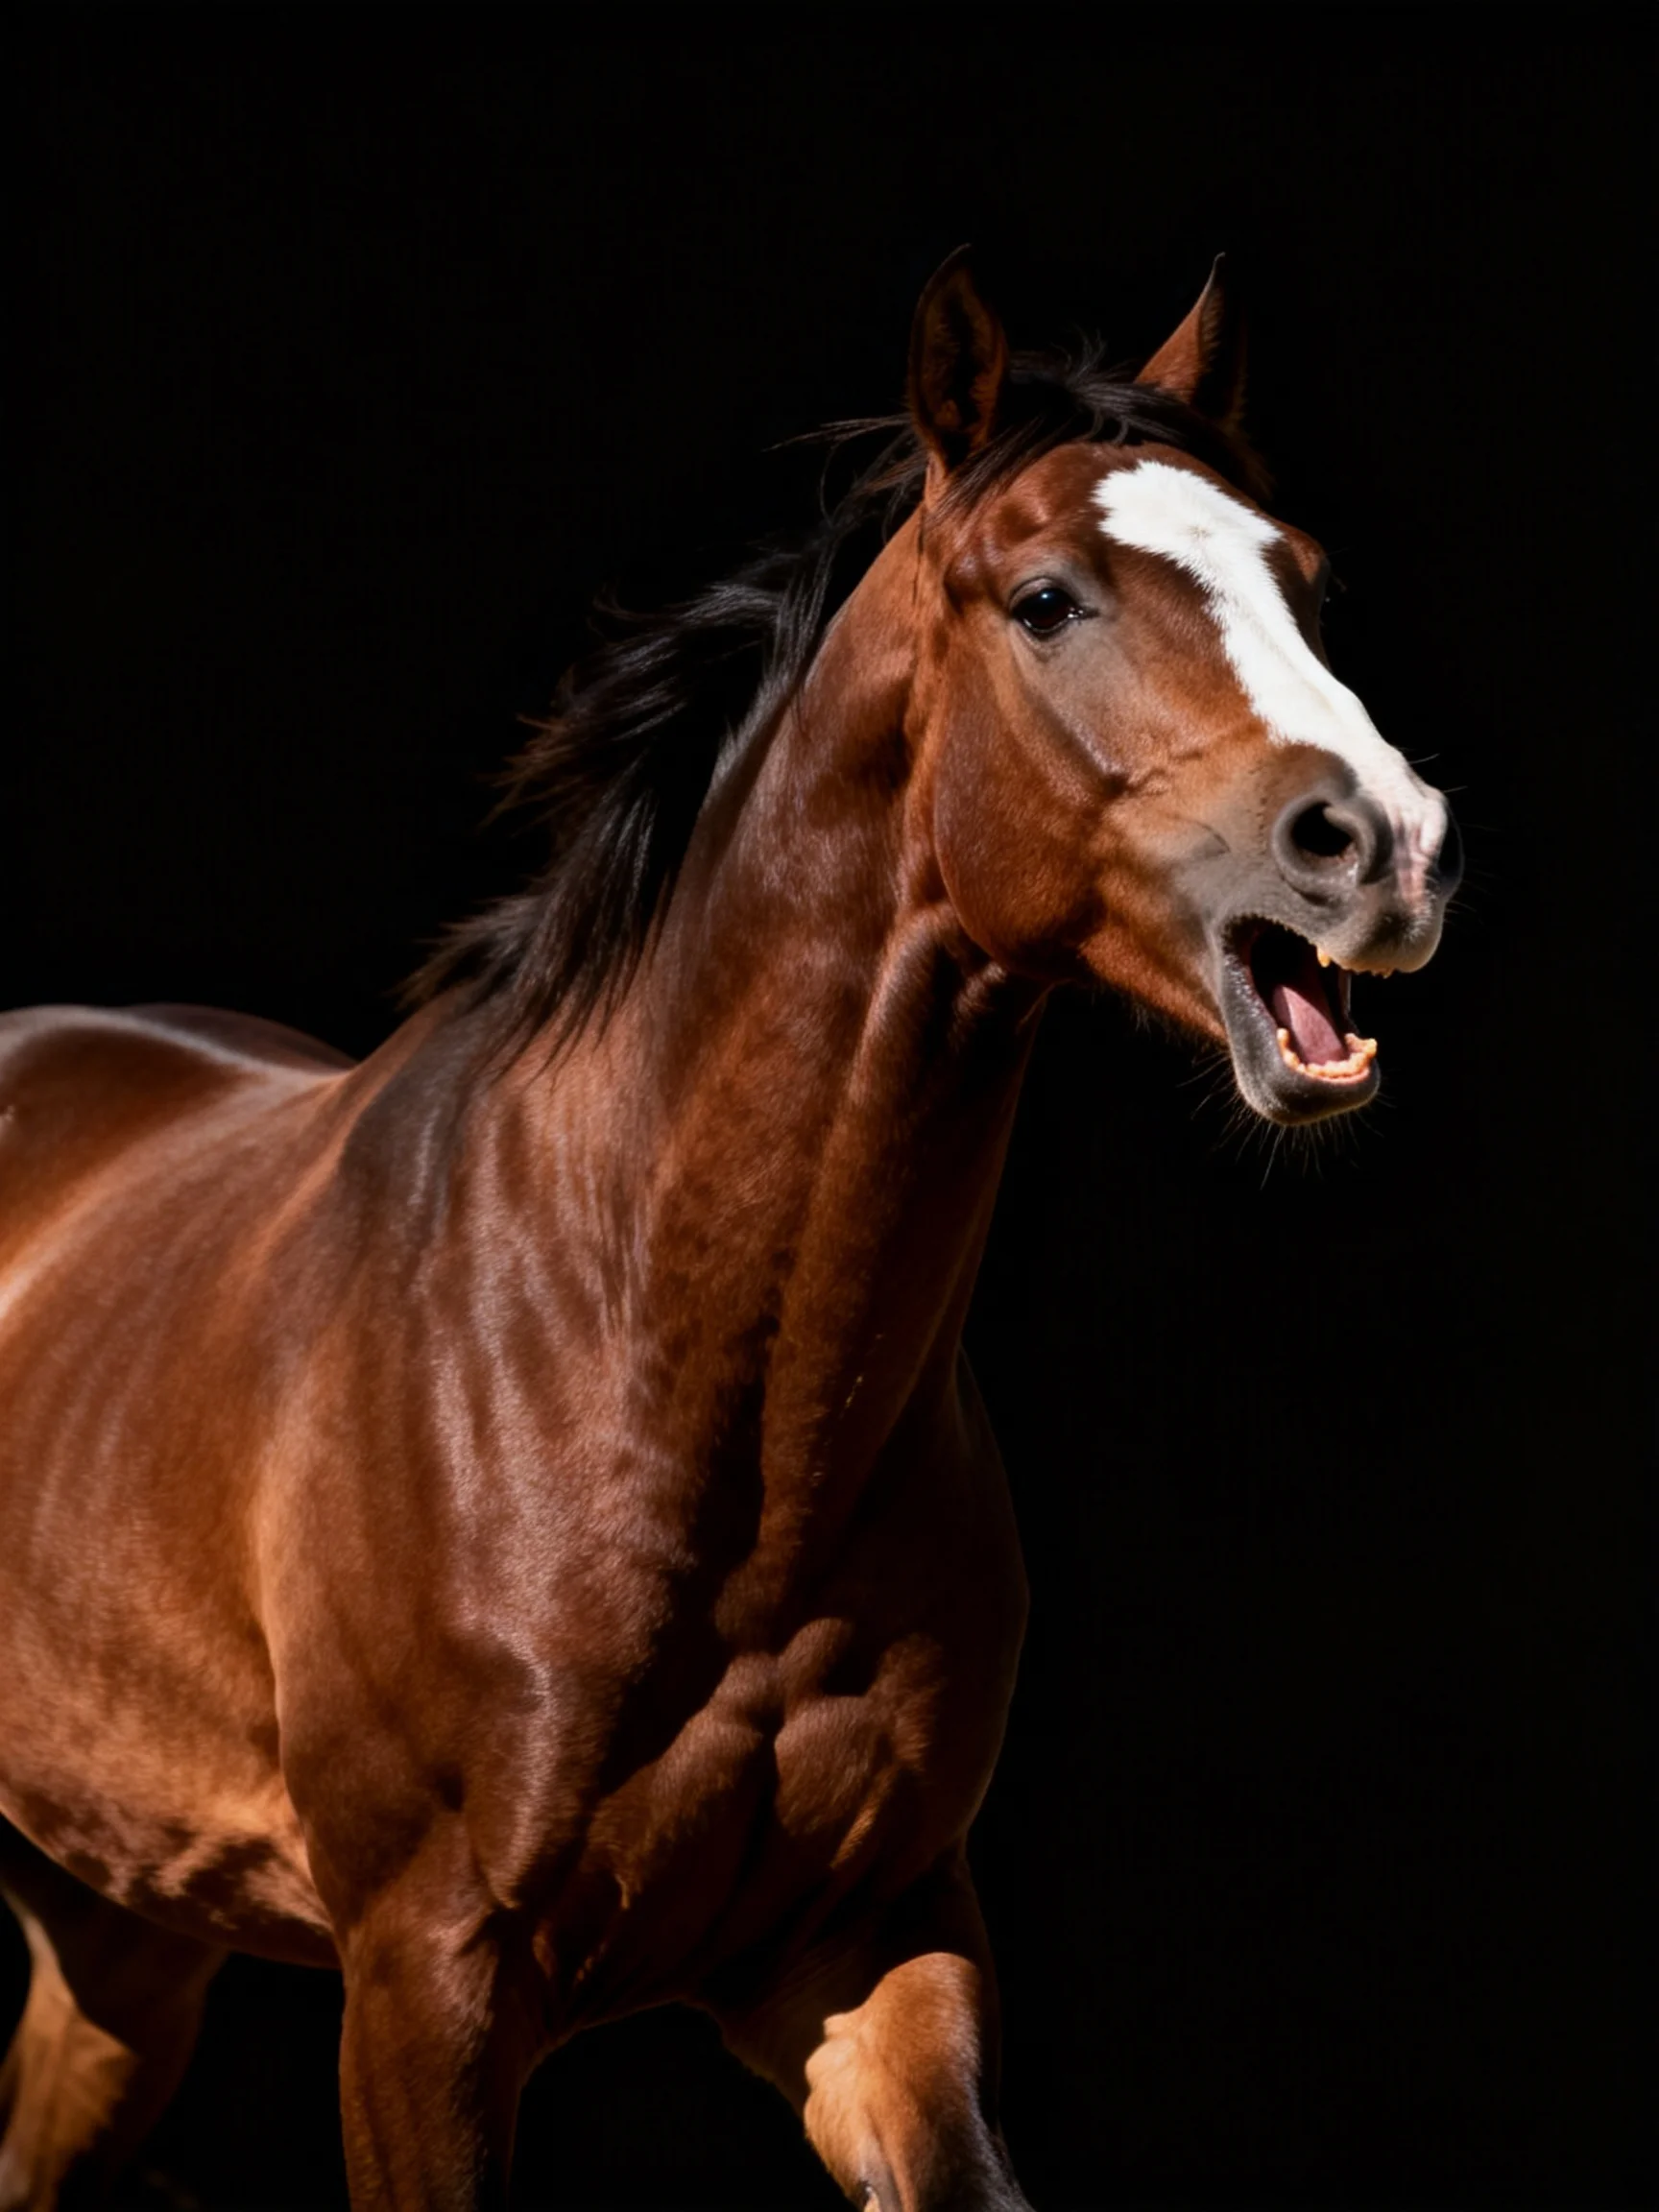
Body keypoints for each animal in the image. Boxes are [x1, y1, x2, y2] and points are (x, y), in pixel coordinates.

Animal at [0, 252, 1459, 2210]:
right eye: (1046, 598)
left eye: (1297, 574)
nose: (1381, 842)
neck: (627, 1348)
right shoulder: (422, 1982)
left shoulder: (872, 1948)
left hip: (121, 1939)